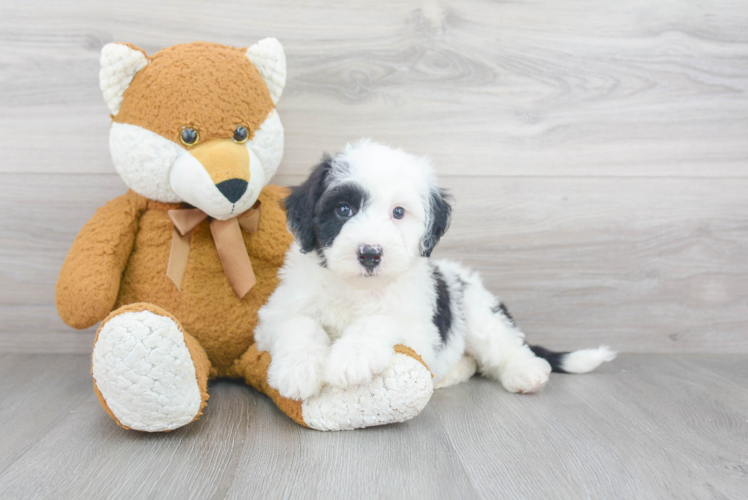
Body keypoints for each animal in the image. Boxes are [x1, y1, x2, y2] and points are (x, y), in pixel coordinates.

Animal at [254, 139, 612, 400]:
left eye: (399, 212)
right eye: (343, 210)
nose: (370, 254)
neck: (358, 288)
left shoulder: (420, 329)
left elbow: (380, 320)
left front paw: (351, 357)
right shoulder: (275, 316)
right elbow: (299, 324)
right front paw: (296, 371)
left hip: (477, 313)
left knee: (506, 348)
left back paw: (526, 373)